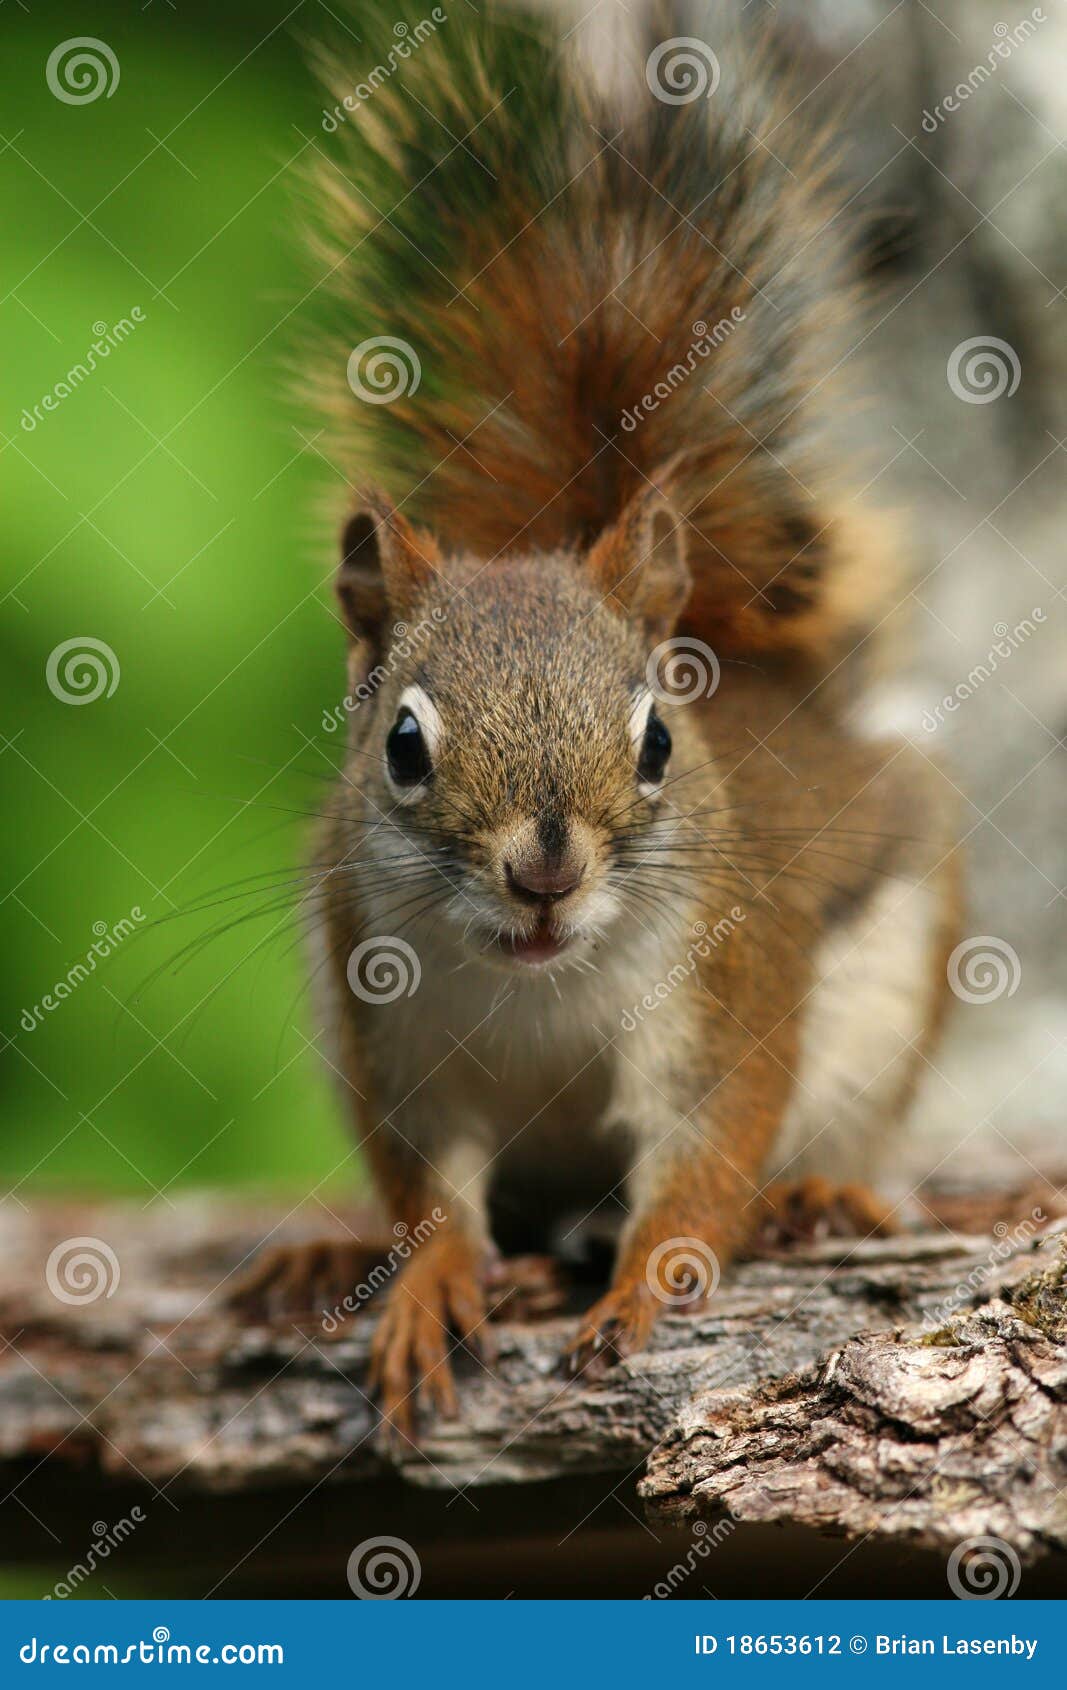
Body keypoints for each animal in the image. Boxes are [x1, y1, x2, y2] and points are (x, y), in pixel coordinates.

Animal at [232, 0, 961, 1445]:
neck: (536, 990)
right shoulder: (391, 1038)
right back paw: (341, 1258)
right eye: (402, 746)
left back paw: (811, 1201)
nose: (544, 868)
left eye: (658, 742)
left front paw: (641, 1286)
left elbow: (708, 1151)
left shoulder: (728, 994)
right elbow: (427, 1191)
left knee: (827, 1140)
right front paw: (423, 1286)